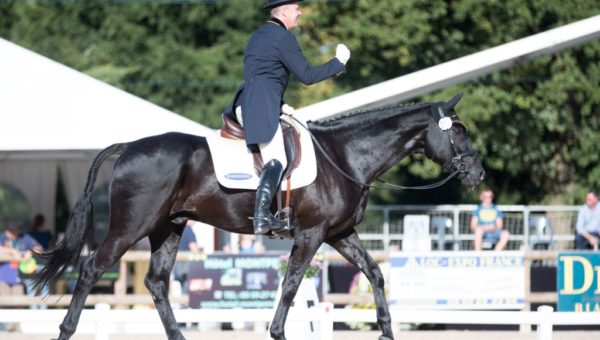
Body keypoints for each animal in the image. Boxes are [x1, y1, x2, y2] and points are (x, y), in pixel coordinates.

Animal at [35, 93, 482, 340]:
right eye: (458, 131)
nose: (477, 174)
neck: (344, 157)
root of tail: (128, 146)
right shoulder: (312, 234)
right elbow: (291, 286)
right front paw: (278, 333)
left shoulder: (341, 234)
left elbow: (374, 273)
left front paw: (386, 330)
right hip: (131, 226)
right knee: (91, 269)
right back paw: (65, 331)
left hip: (169, 227)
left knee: (156, 282)